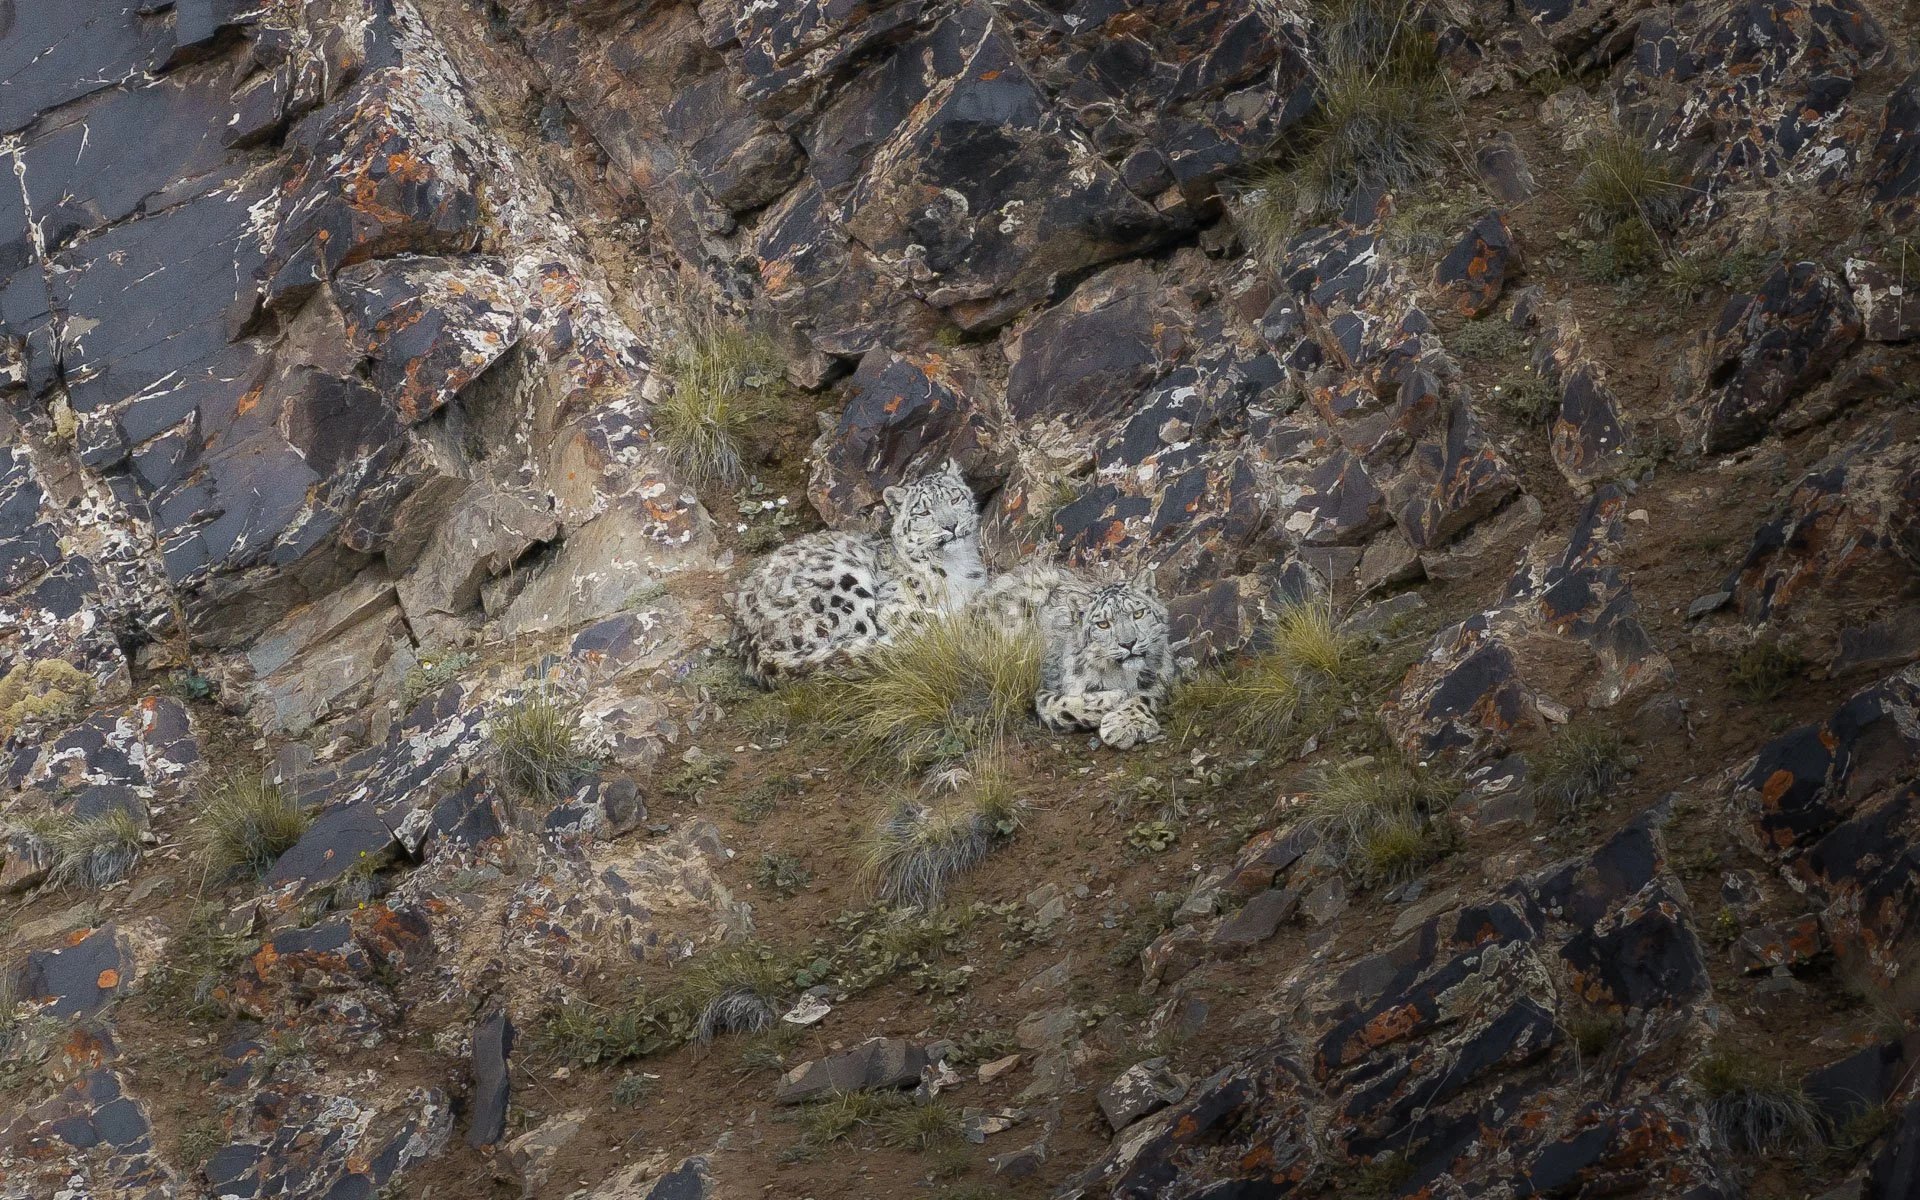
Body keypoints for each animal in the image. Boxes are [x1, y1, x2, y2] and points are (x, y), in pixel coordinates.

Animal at [729, 459, 986, 685]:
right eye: (922, 513)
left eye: (955, 498)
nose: (950, 525)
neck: (955, 564)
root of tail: (749, 636)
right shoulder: (893, 601)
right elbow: (926, 616)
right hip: (843, 583)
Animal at [974, 561, 1172, 749]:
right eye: (1102, 624)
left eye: (1138, 613)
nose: (1128, 643)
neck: (1121, 675)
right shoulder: (1049, 684)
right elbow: (1054, 704)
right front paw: (1113, 698)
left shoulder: (1160, 675)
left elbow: (1144, 696)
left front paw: (1124, 724)